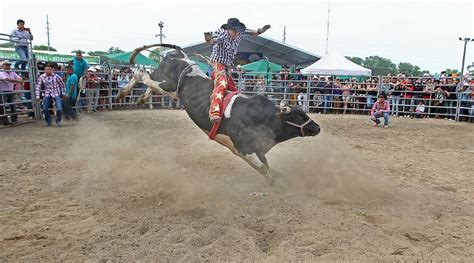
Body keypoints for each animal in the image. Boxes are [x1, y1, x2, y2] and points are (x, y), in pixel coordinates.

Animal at [116, 43, 320, 186]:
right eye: (297, 117)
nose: (317, 127)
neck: (265, 118)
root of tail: (179, 55)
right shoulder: (244, 147)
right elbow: (263, 167)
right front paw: (276, 183)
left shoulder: (255, 150)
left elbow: (265, 166)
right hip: (167, 83)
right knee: (141, 74)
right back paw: (122, 93)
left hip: (167, 86)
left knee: (149, 83)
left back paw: (141, 99)